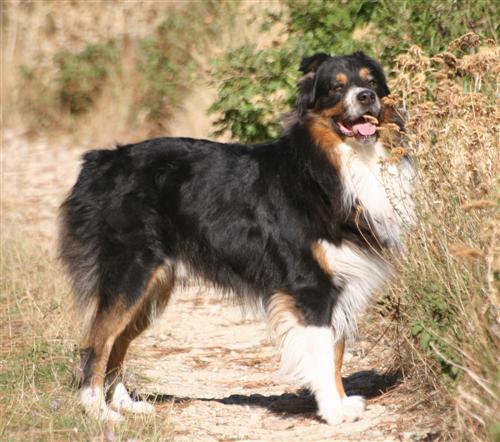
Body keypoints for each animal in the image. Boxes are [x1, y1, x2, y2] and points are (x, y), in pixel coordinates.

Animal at [59, 51, 415, 424]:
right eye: (336, 87)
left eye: (371, 82)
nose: (366, 97)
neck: (331, 162)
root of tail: (100, 160)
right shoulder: (310, 285)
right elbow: (321, 353)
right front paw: (332, 410)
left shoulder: (339, 282)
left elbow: (337, 351)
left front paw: (343, 404)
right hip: (129, 273)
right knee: (99, 340)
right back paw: (97, 409)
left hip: (153, 286)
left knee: (118, 342)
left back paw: (125, 403)